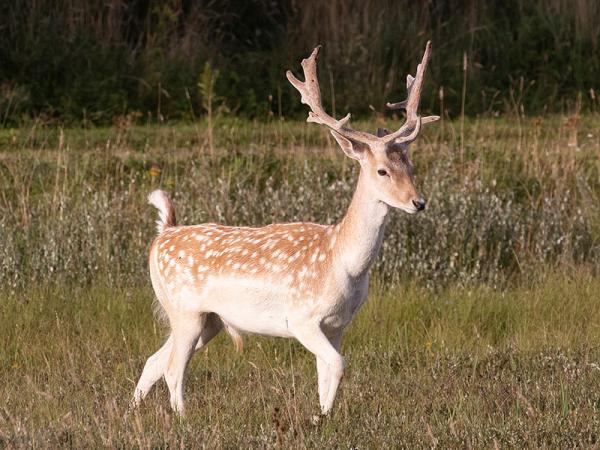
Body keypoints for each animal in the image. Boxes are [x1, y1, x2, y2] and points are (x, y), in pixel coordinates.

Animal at [134, 41, 438, 414]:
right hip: (184, 310)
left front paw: (323, 417)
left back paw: (133, 412)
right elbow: (339, 365)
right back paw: (183, 418)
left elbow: (326, 375)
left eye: (411, 165)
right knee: (173, 368)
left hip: (209, 319)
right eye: (382, 170)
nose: (418, 202)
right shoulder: (302, 318)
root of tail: (162, 235)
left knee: (153, 361)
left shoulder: (337, 325)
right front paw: (322, 418)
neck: (342, 262)